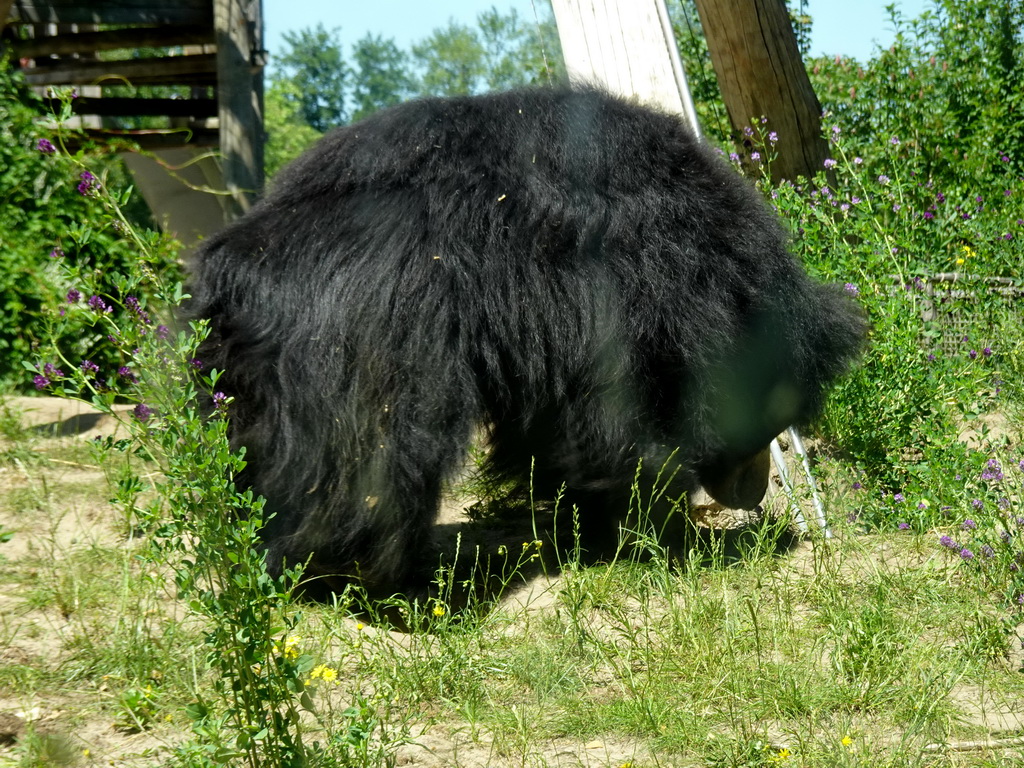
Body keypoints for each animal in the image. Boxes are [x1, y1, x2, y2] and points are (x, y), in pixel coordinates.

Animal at [184, 87, 864, 598]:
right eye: (765, 423)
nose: (754, 494)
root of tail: (231, 263)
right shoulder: (604, 299)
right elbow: (612, 427)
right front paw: (661, 533)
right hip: (366, 325)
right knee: (373, 451)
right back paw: (372, 577)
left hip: (247, 367)